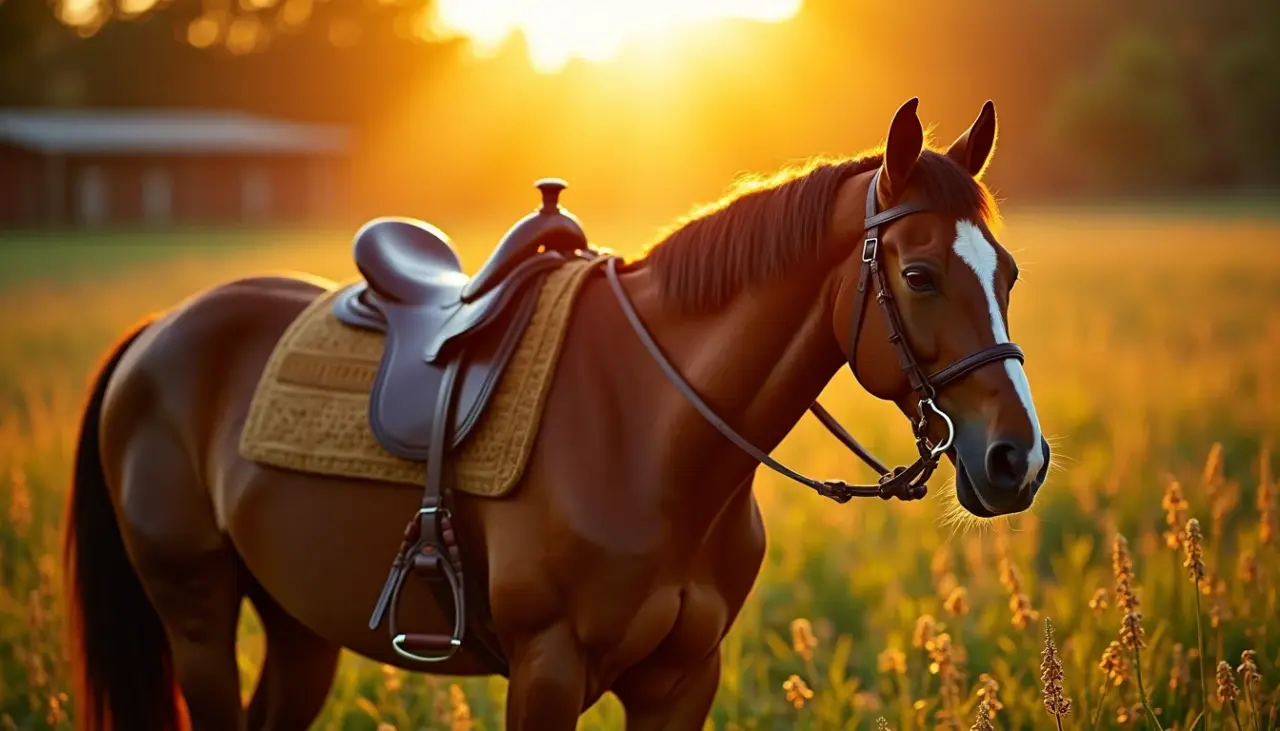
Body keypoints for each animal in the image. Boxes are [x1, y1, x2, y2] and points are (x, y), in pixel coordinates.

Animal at [63, 97, 1048, 731]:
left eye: (1008, 274)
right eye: (919, 273)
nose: (1019, 459)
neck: (652, 433)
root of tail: (158, 331)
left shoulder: (682, 679)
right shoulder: (547, 670)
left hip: (299, 624)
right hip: (195, 613)